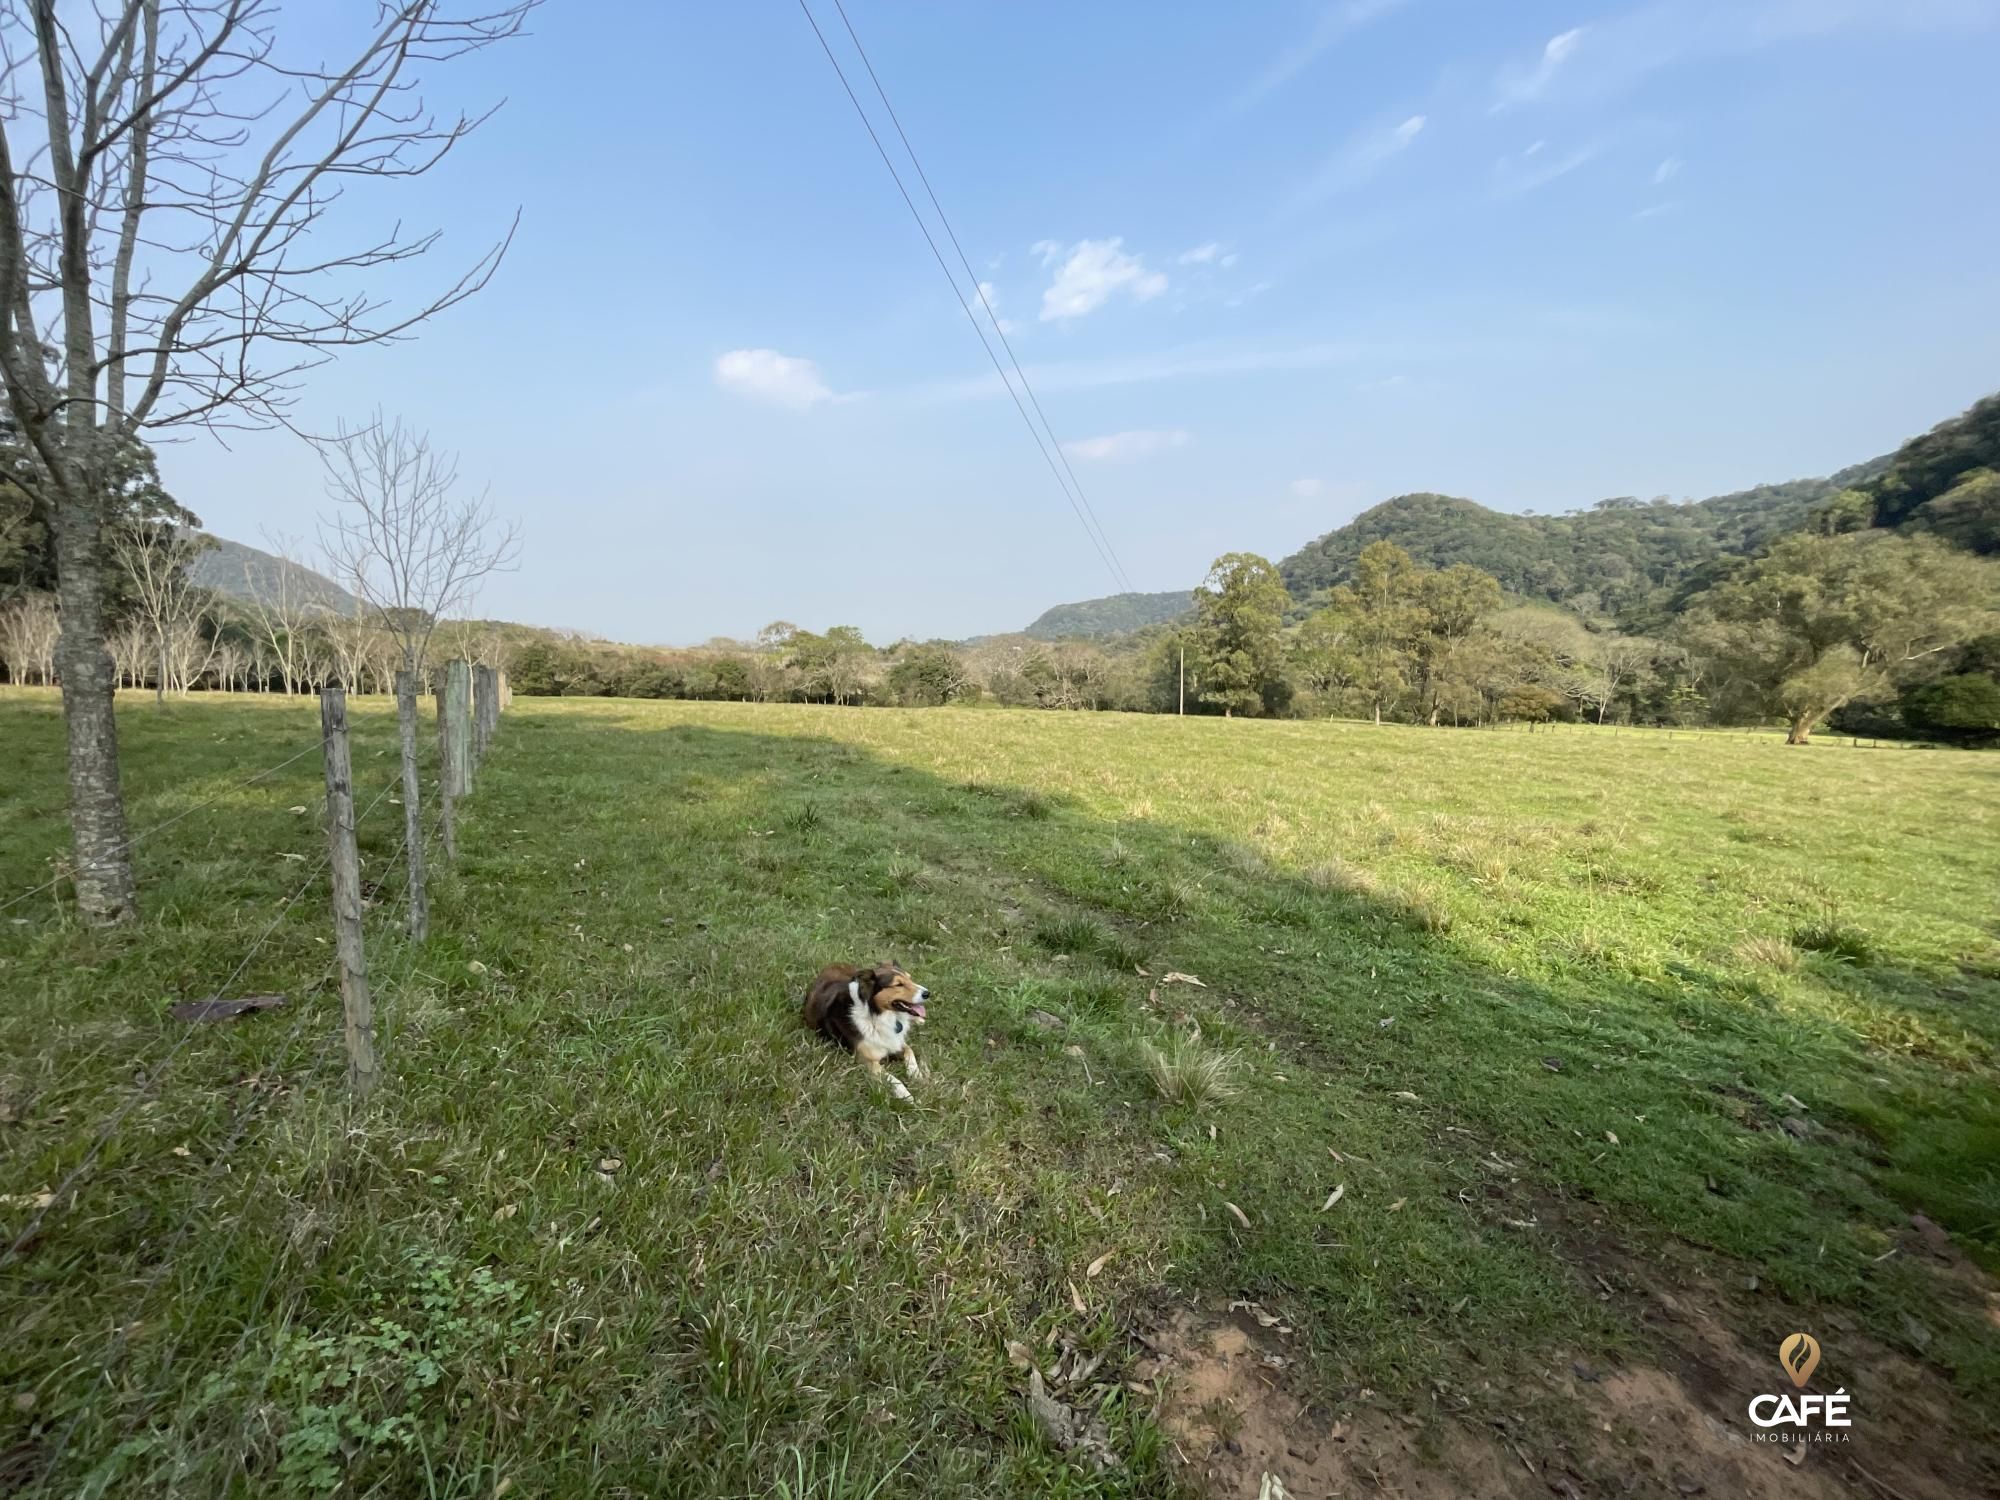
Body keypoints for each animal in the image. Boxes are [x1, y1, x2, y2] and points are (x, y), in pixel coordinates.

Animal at [804, 968, 928, 1096]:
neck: (876, 1015)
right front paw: (904, 1094)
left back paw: (919, 1020)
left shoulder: (895, 1042)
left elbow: (910, 1051)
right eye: (898, 984)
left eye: (910, 979)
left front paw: (916, 1074)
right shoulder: (865, 1060)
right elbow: (891, 1077)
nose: (927, 994)